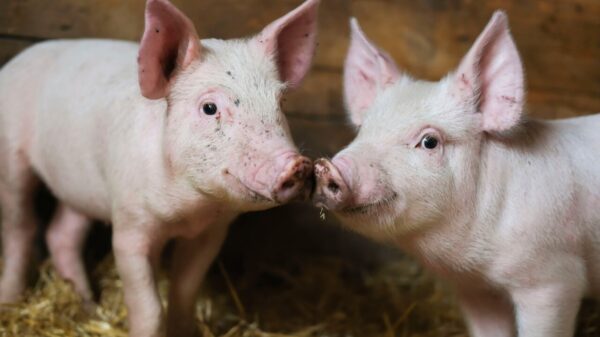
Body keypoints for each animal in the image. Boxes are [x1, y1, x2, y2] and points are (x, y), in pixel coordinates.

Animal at [0, 0, 318, 334]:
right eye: (209, 108)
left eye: (280, 103)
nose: (297, 164)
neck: (189, 211)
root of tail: (20, 57)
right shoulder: (129, 225)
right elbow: (150, 308)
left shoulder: (211, 232)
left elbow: (185, 291)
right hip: (10, 156)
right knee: (20, 228)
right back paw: (10, 301)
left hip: (79, 186)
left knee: (61, 234)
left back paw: (89, 308)